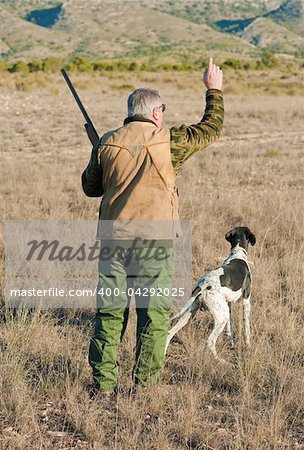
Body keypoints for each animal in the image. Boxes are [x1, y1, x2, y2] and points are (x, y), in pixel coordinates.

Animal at [166, 227, 256, 360]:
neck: (237, 253)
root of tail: (202, 286)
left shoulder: (228, 304)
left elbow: (229, 328)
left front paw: (231, 343)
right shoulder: (246, 301)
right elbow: (246, 328)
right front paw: (248, 346)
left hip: (191, 313)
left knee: (169, 333)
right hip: (221, 317)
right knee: (210, 341)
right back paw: (221, 361)